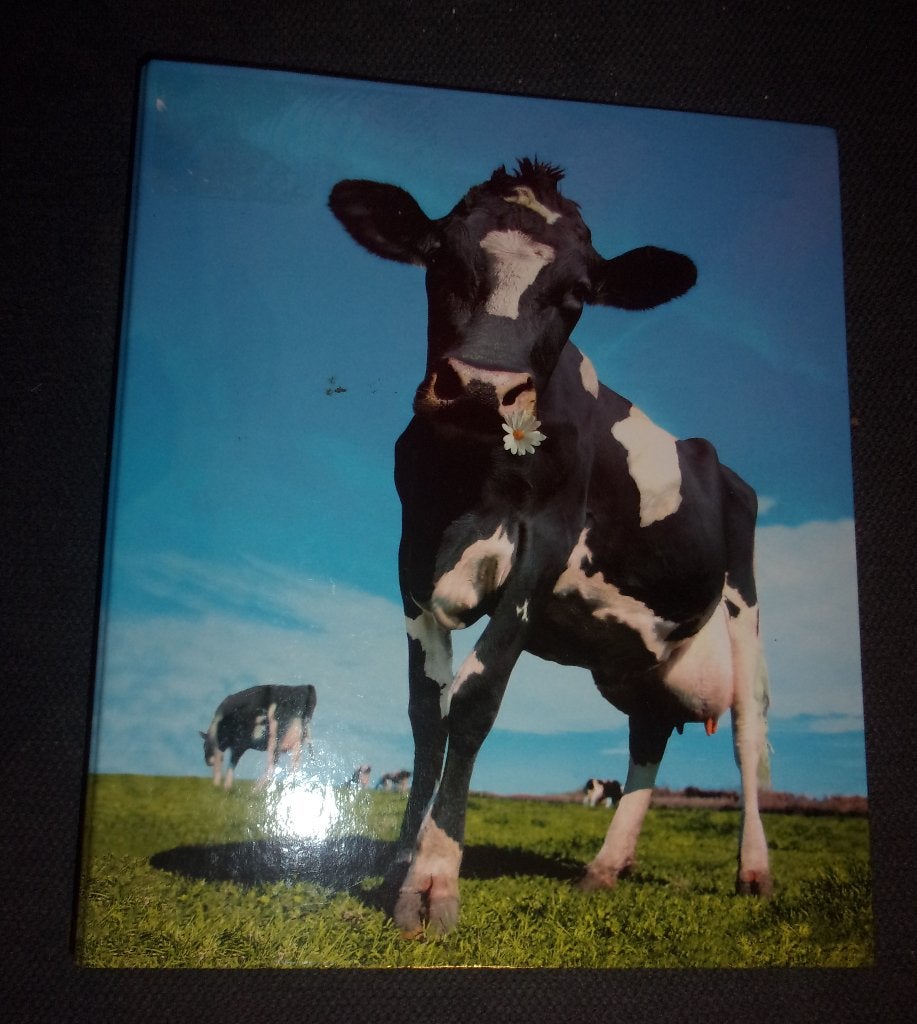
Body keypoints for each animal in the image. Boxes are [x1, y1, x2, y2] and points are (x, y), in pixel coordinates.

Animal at [329, 157, 772, 936]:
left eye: (577, 294)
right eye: (440, 257)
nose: (483, 387)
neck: (471, 482)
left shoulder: (543, 549)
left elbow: (474, 700)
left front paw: (434, 880)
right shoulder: (411, 553)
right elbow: (425, 711)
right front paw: (396, 865)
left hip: (743, 607)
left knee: (748, 737)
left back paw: (754, 870)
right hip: (636, 658)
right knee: (648, 734)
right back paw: (605, 867)